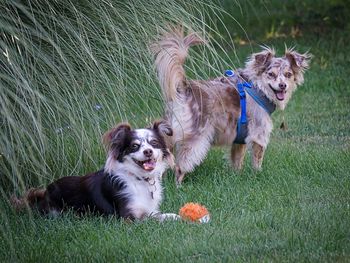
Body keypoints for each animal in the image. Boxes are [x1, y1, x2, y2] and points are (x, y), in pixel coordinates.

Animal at [11, 120, 180, 222]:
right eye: (134, 146)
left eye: (154, 143)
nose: (148, 152)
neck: (139, 179)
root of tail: (46, 191)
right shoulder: (127, 217)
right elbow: (150, 219)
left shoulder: (148, 209)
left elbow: (161, 215)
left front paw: (175, 216)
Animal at [152, 27, 310, 186]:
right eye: (271, 74)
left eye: (288, 74)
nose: (283, 85)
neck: (258, 87)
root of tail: (185, 88)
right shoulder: (259, 134)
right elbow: (257, 160)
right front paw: (258, 175)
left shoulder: (239, 139)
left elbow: (237, 160)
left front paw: (236, 177)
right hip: (196, 139)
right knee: (180, 166)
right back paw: (179, 186)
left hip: (168, 135)